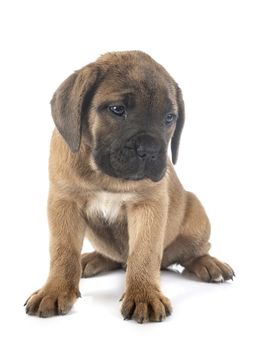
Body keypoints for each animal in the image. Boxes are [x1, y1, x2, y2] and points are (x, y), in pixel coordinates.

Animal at [25, 51, 233, 322]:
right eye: (117, 109)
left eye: (169, 118)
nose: (151, 150)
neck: (106, 175)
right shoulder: (64, 202)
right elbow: (63, 251)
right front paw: (55, 289)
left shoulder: (148, 205)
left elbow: (144, 252)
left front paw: (144, 295)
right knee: (115, 257)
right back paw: (93, 259)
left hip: (196, 211)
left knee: (193, 251)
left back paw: (209, 264)